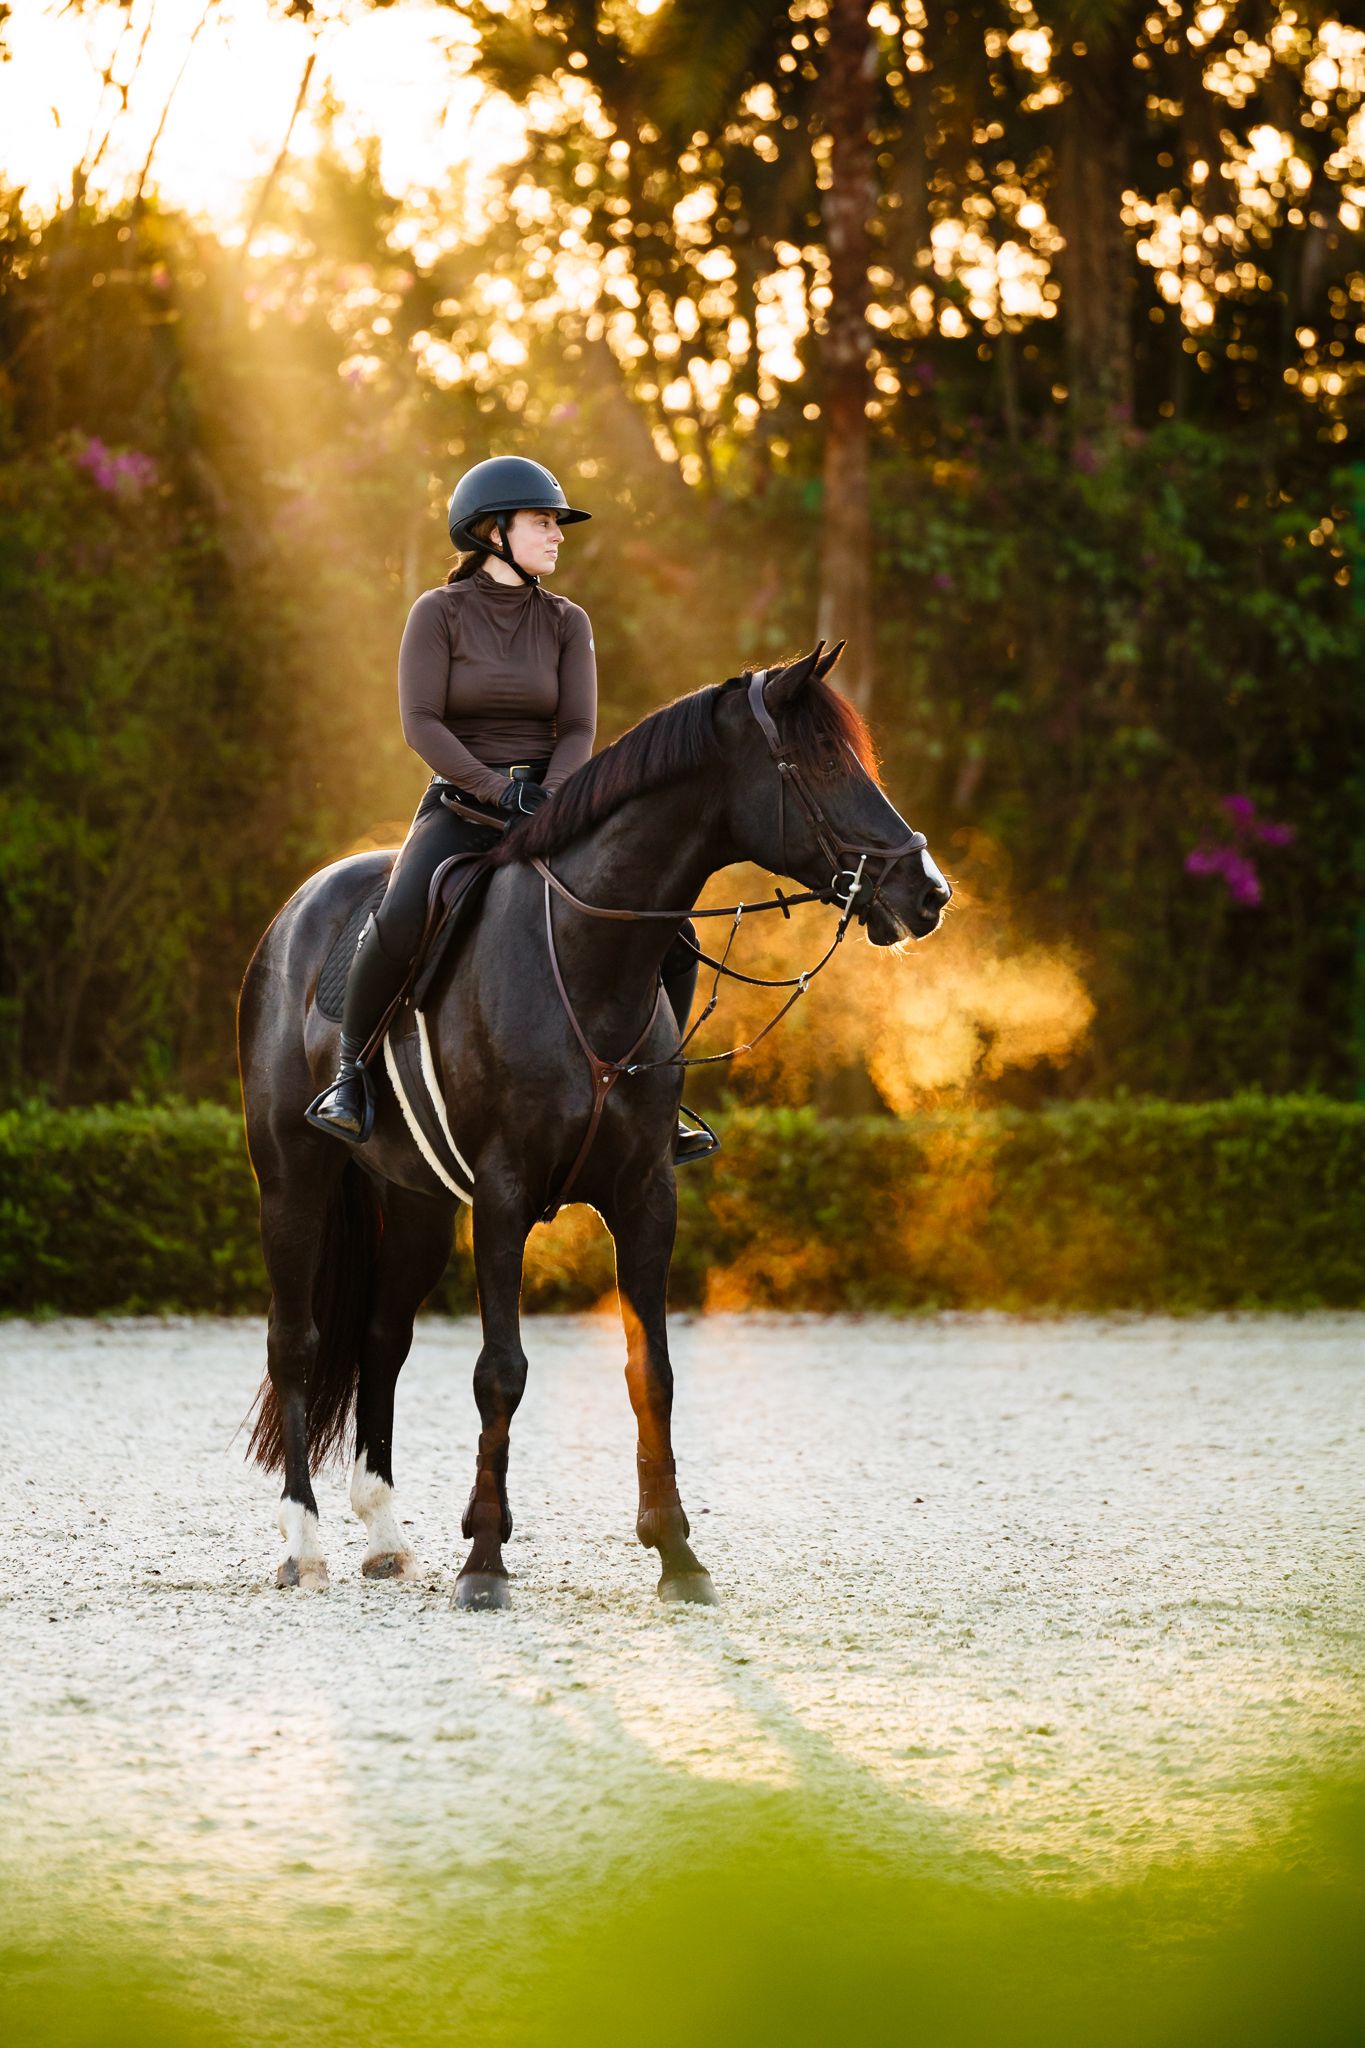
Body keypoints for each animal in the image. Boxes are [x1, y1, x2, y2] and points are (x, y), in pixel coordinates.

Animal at [236, 643, 951, 1608]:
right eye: (825, 763)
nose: (927, 893)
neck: (585, 955)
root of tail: (295, 914)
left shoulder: (645, 1196)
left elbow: (651, 1370)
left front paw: (676, 1554)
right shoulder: (503, 1198)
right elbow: (499, 1374)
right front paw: (484, 1560)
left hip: (418, 1201)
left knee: (382, 1341)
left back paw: (384, 1534)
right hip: (293, 1180)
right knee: (298, 1342)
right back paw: (302, 1545)